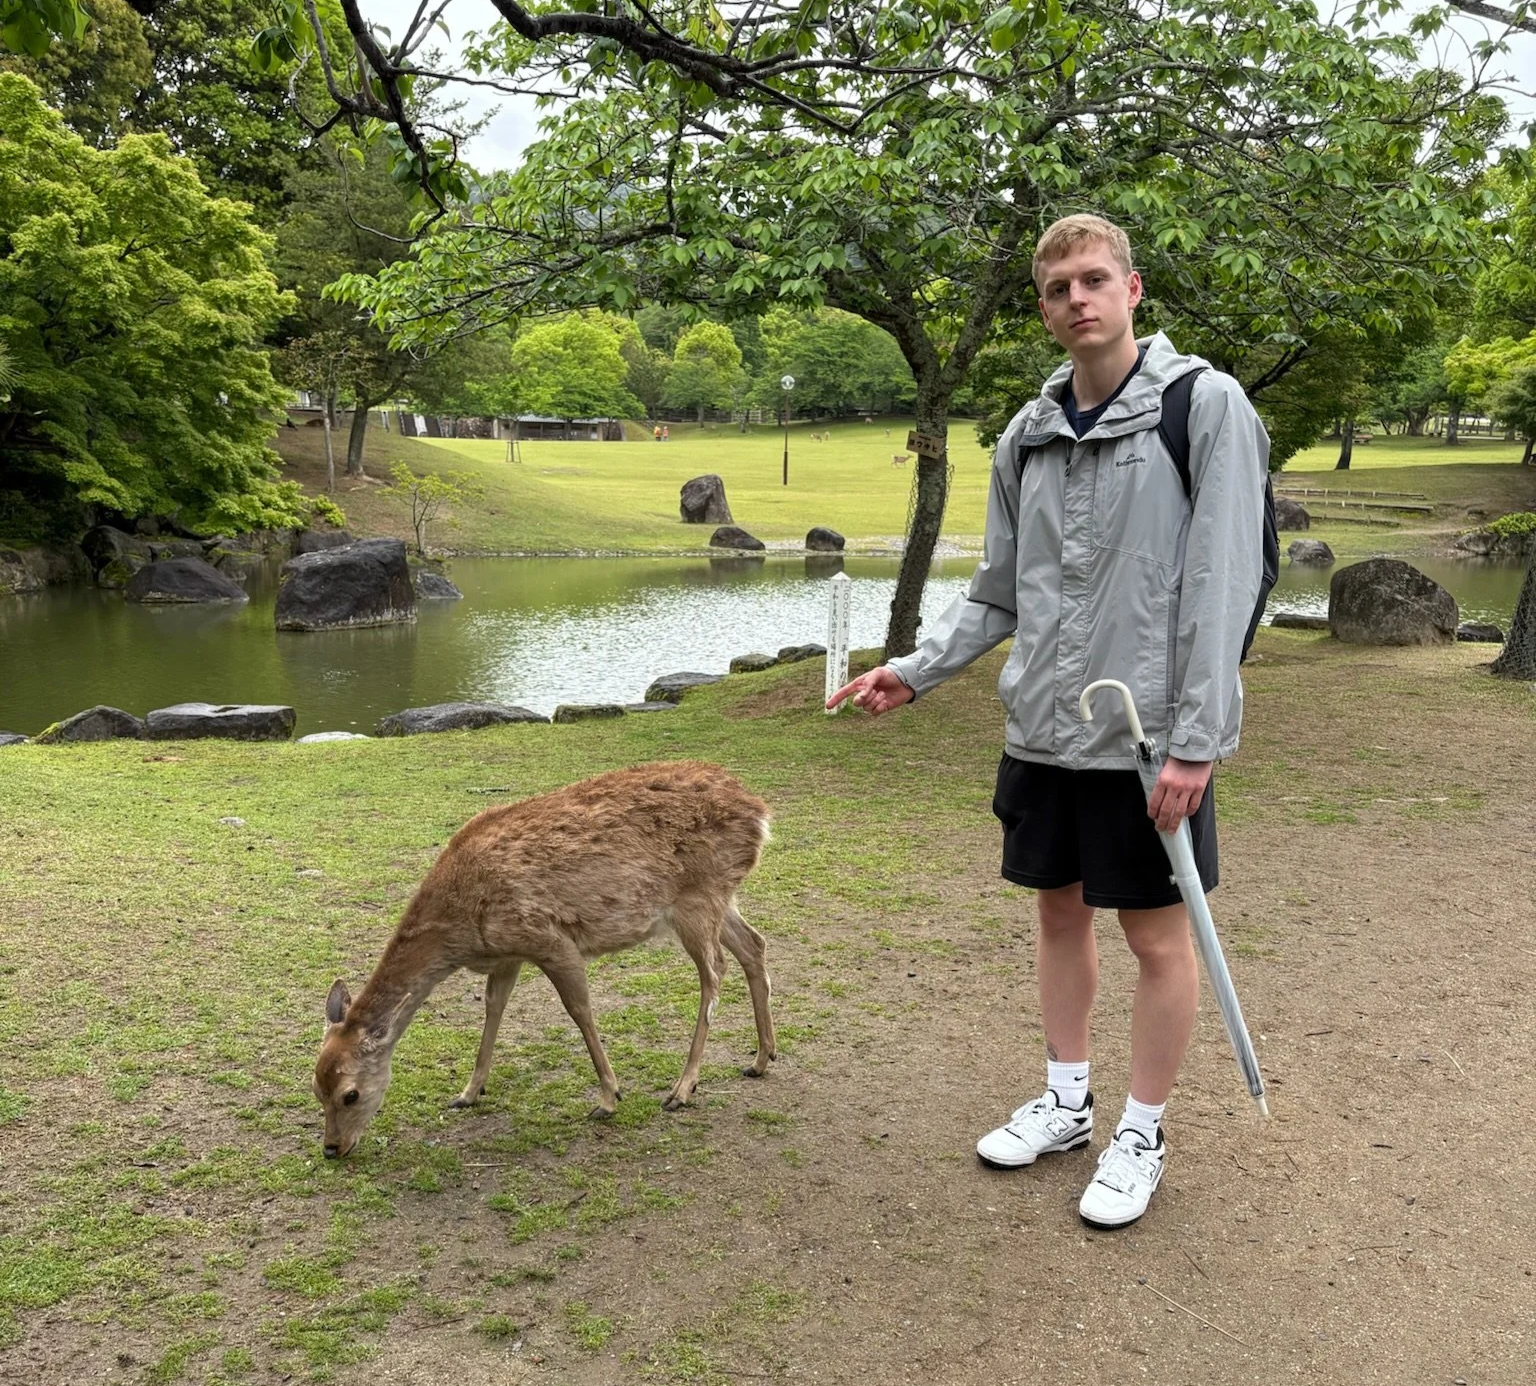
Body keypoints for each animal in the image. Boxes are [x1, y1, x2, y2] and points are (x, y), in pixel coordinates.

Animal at [313, 761, 776, 1157]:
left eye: (350, 1094)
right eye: (316, 1088)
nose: (332, 1148)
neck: (461, 930)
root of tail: (760, 813)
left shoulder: (550, 940)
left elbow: (579, 1009)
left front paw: (609, 1098)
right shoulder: (507, 955)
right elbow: (493, 1009)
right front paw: (468, 1093)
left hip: (698, 896)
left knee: (714, 971)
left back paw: (682, 1089)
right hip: (719, 897)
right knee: (754, 945)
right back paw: (760, 1059)